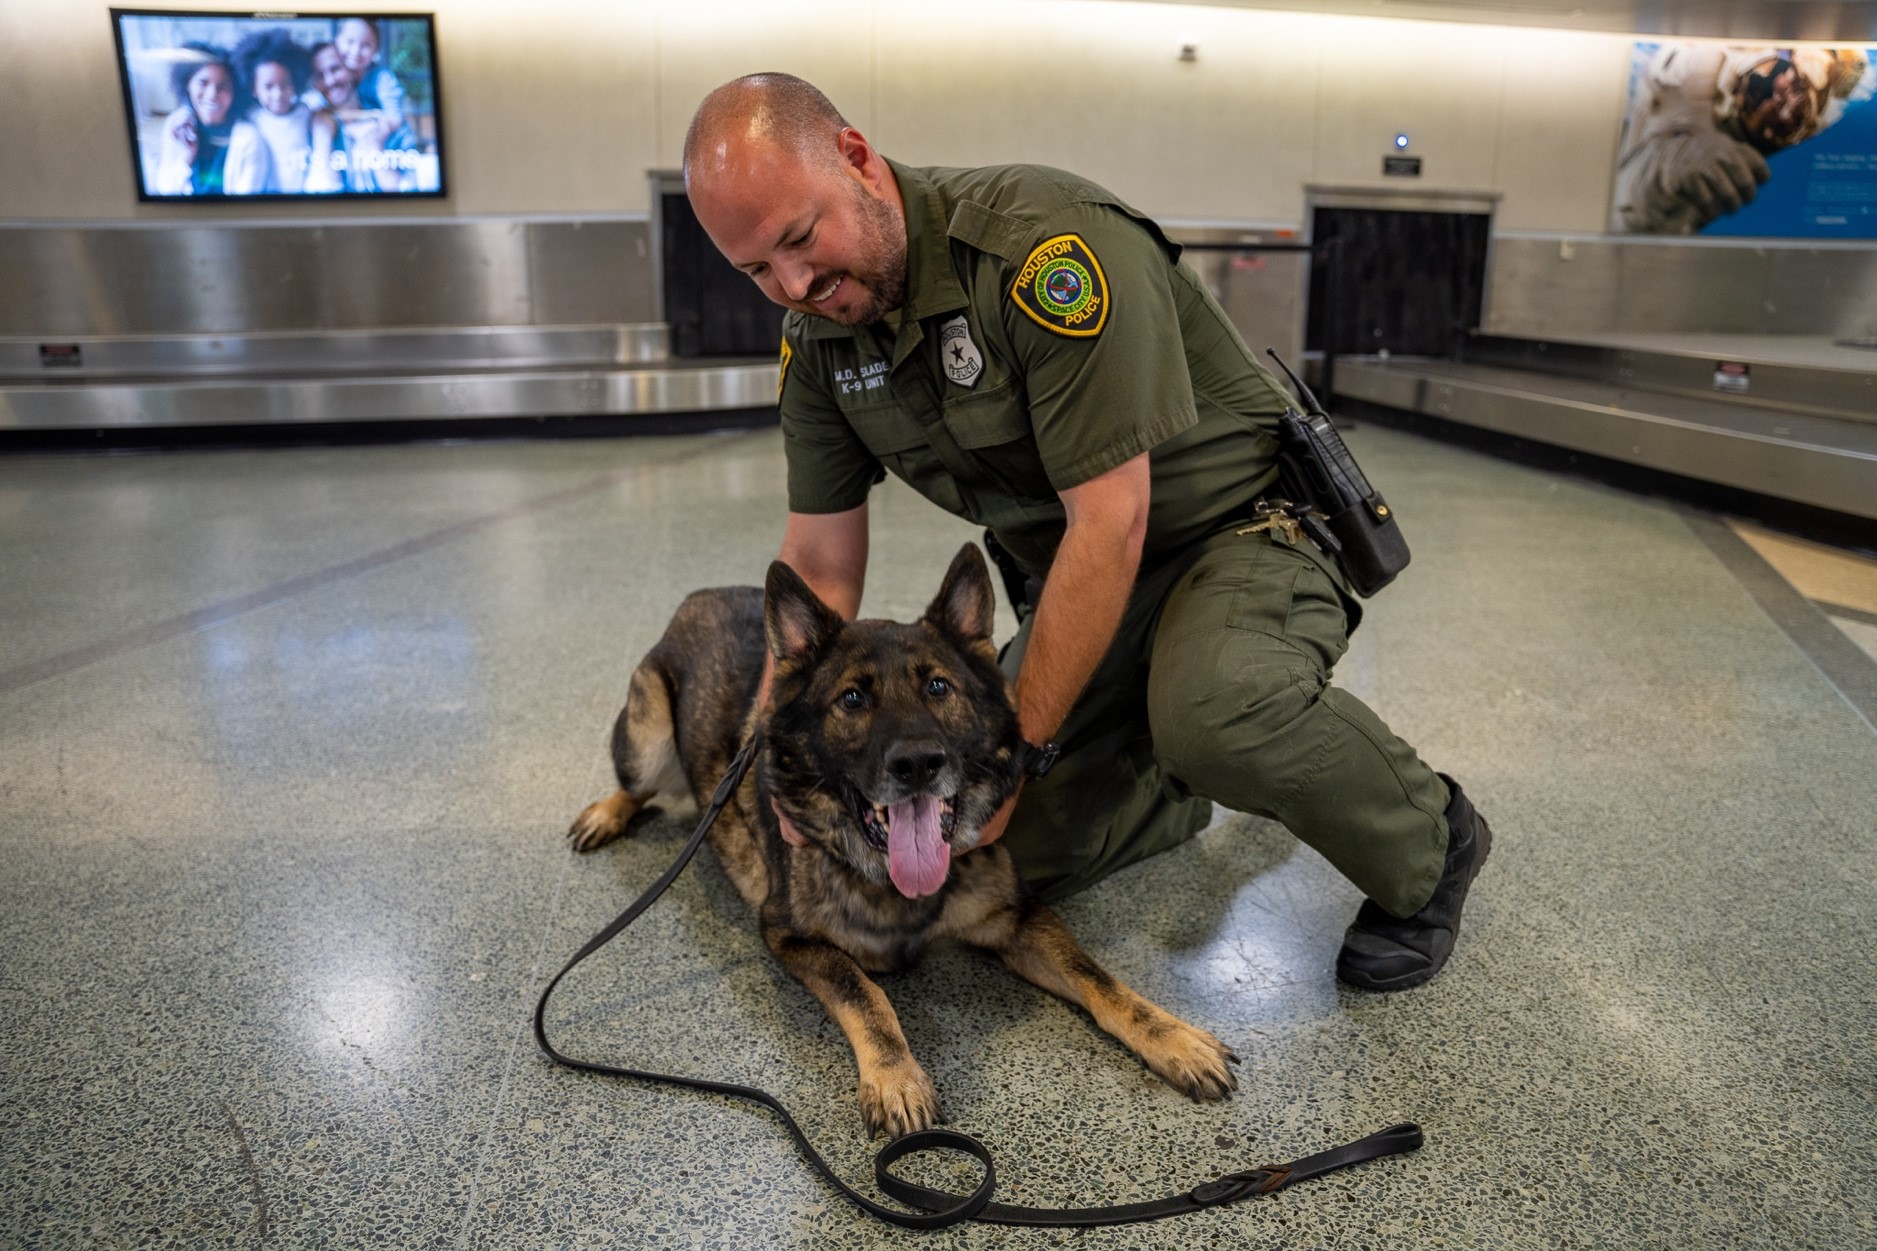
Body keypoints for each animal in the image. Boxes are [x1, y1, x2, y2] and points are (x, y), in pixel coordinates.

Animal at [563, 540, 1238, 1134]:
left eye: (938, 686)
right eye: (852, 698)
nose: (918, 763)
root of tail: (704, 594)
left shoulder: (1018, 919)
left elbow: (1097, 977)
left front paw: (1174, 1038)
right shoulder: (790, 936)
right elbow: (867, 995)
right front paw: (896, 1077)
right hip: (649, 737)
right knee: (638, 783)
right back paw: (606, 812)